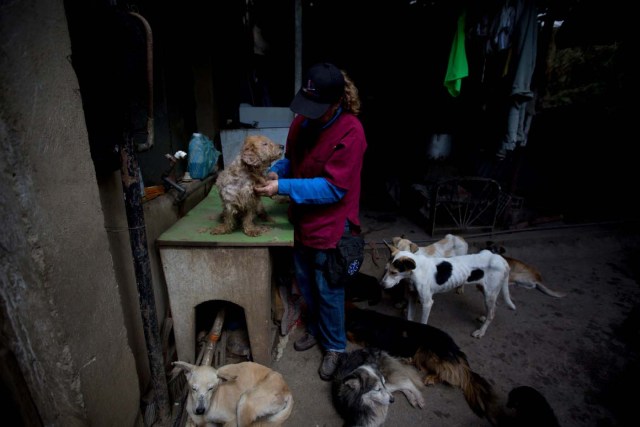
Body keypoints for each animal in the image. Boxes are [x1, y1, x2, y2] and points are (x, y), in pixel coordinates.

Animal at [344, 304, 500, 424]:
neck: (361, 316)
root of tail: (456, 351)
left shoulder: (364, 338)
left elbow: (349, 334)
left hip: (427, 350)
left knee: (451, 376)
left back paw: (431, 377)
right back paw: (407, 360)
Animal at [380, 246, 516, 340]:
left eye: (394, 273)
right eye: (386, 269)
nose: (381, 285)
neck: (414, 272)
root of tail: (502, 260)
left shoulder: (427, 303)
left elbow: (423, 321)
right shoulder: (413, 297)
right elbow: (410, 317)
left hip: (489, 293)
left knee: (492, 313)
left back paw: (481, 332)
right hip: (486, 291)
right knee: (493, 308)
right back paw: (484, 317)